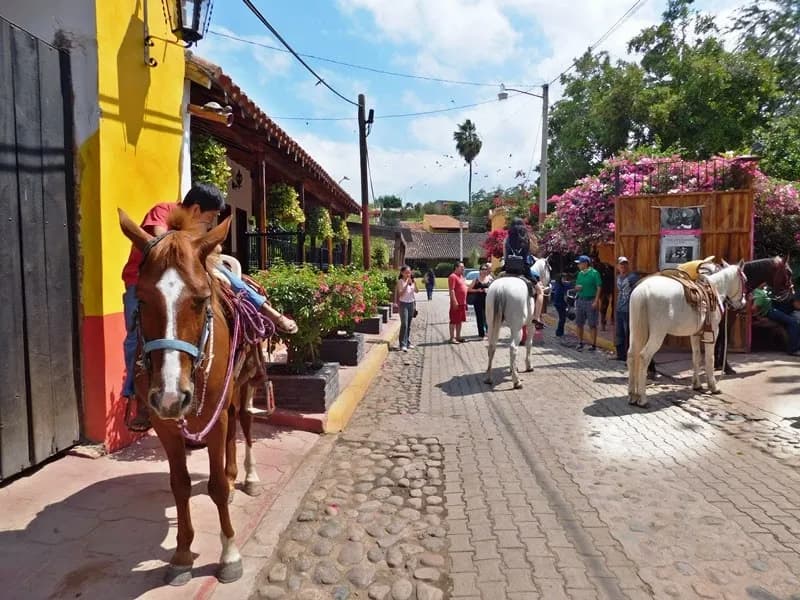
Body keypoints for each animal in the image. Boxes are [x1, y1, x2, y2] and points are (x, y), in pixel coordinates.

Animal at [119, 206, 262, 584]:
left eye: (200, 300)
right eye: (142, 300)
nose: (171, 396)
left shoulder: (213, 414)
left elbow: (216, 488)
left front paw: (229, 555)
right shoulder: (166, 425)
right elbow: (181, 485)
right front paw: (182, 554)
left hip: (246, 382)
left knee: (244, 421)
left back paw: (249, 477)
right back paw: (233, 473)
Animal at [482, 256, 552, 390]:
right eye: (549, 269)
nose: (549, 284)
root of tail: (501, 289)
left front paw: (513, 368)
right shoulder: (530, 325)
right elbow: (529, 343)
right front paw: (528, 366)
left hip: (492, 324)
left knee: (492, 346)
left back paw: (489, 377)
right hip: (517, 328)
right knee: (513, 348)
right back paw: (516, 381)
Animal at [628, 260, 748, 406]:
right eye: (745, 280)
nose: (742, 304)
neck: (716, 290)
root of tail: (643, 290)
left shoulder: (695, 334)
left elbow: (696, 356)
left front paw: (696, 385)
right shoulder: (712, 332)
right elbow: (709, 359)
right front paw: (713, 387)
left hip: (635, 331)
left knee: (631, 355)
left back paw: (632, 396)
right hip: (657, 335)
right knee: (644, 356)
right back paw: (642, 399)